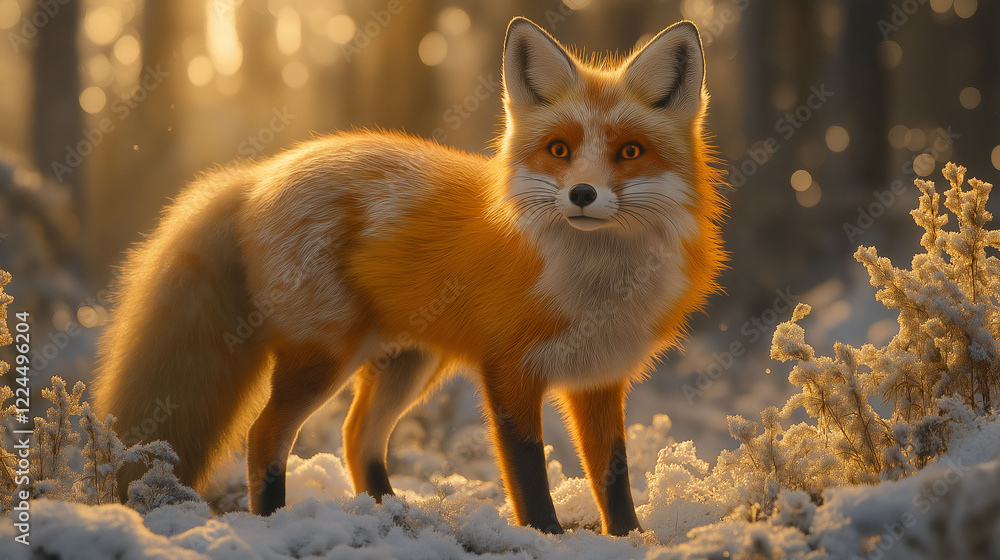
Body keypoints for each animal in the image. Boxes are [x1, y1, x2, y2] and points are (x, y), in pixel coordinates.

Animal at [94, 17, 725, 536]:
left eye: (630, 152)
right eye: (559, 149)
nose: (583, 195)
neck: (593, 281)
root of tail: (260, 173)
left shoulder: (600, 377)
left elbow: (614, 478)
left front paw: (632, 540)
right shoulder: (509, 371)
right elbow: (528, 475)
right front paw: (545, 538)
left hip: (408, 364)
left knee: (356, 438)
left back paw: (389, 513)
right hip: (326, 357)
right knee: (265, 435)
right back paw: (276, 522)